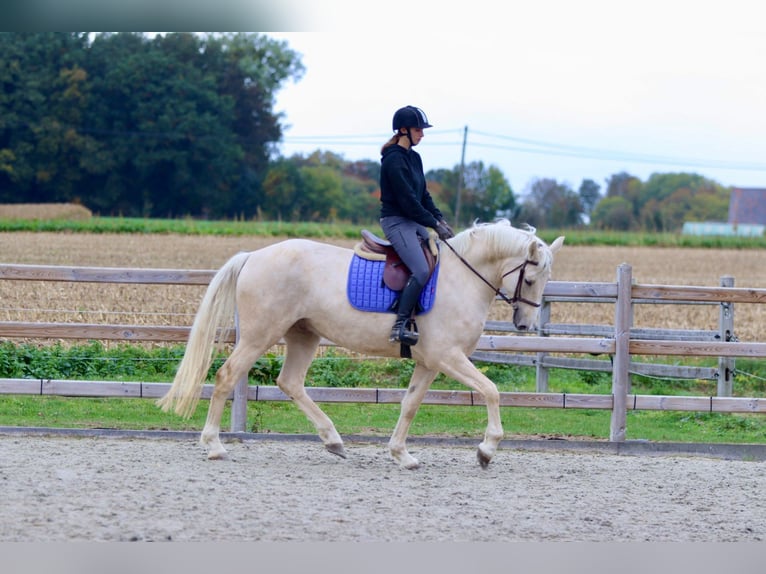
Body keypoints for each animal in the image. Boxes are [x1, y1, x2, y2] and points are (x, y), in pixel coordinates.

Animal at [157, 219, 564, 469]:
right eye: (530, 279)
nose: (525, 324)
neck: (461, 278)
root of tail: (254, 256)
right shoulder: (448, 357)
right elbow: (492, 391)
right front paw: (487, 449)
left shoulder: (429, 362)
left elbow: (410, 404)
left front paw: (402, 455)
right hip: (261, 334)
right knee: (227, 376)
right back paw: (214, 446)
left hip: (303, 334)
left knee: (290, 383)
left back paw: (333, 441)